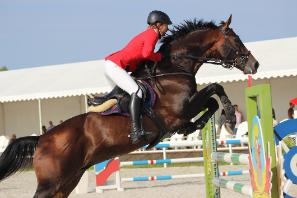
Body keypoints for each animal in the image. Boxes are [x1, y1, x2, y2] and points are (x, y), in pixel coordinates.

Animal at [0, 14, 256, 197]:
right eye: (236, 40)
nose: (255, 65)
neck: (173, 68)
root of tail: (41, 139)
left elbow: (211, 99)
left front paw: (197, 125)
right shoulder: (181, 110)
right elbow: (214, 90)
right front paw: (229, 116)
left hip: (68, 181)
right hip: (52, 183)